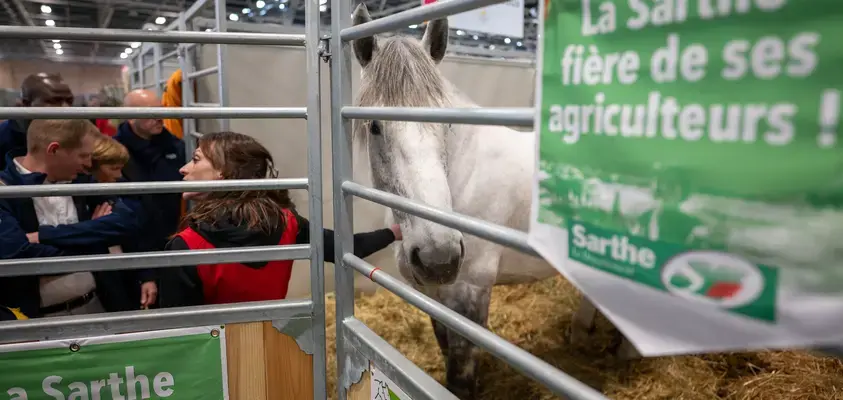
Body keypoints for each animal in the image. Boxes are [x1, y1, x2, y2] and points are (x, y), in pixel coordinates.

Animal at [346, 4, 628, 398]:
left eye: (446, 124)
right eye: (375, 126)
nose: (438, 257)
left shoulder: (470, 294)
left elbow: (460, 377)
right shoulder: (435, 293)